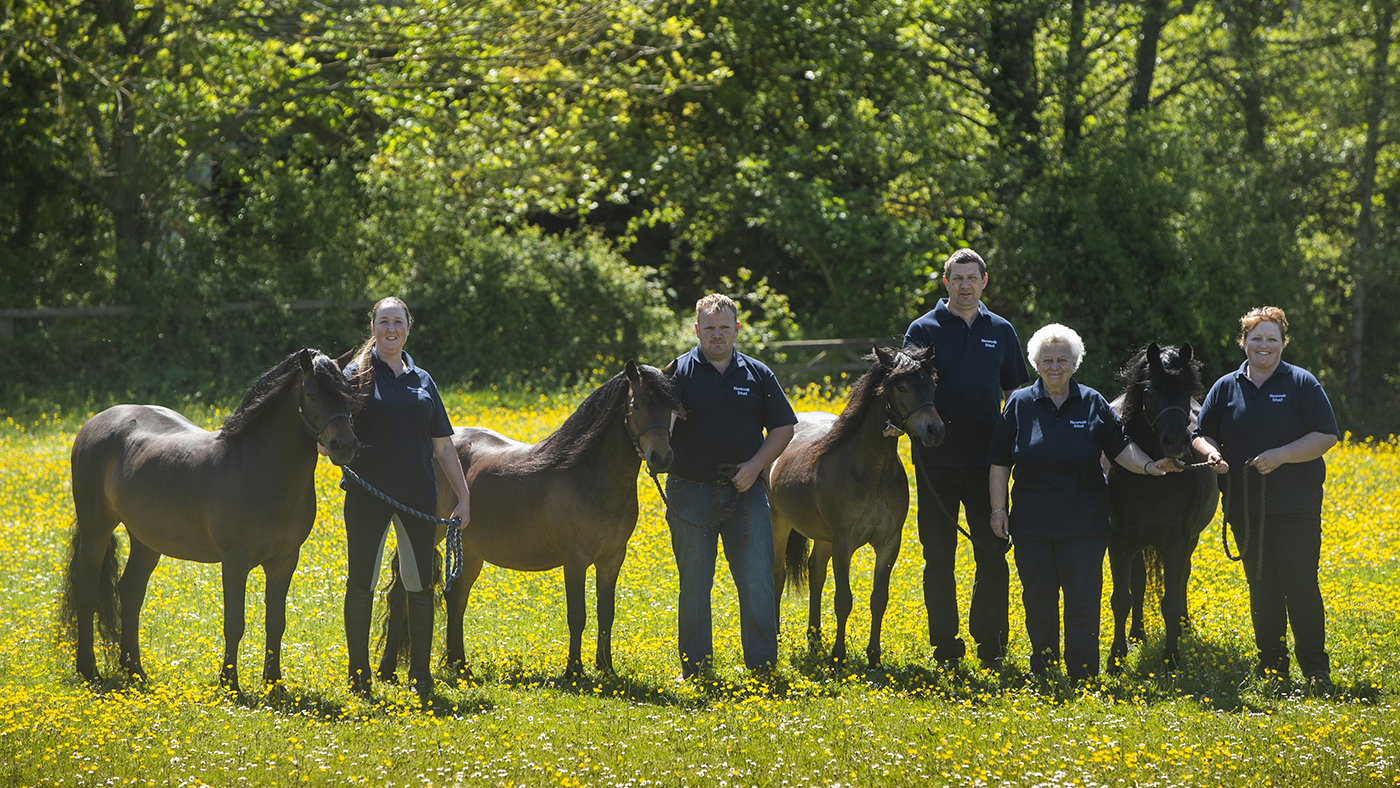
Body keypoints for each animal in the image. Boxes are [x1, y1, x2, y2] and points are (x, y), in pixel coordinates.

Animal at [65, 348, 359, 694]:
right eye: (311, 395)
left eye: (349, 395)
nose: (344, 446)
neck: (259, 467)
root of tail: (95, 422)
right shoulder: (234, 559)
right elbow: (234, 623)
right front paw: (230, 684)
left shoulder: (285, 561)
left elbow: (276, 622)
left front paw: (273, 684)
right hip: (95, 530)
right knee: (87, 591)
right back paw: (90, 671)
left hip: (146, 541)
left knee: (131, 592)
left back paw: (135, 670)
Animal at [376, 360, 680, 680]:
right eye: (636, 405)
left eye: (671, 408)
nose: (661, 457)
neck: (590, 479)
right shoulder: (575, 560)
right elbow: (577, 615)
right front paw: (574, 671)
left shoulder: (612, 559)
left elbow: (606, 614)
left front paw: (606, 669)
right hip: (427, 531)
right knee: (400, 595)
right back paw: (387, 671)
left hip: (469, 548)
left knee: (454, 596)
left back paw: (459, 665)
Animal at [768, 345, 945, 667]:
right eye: (901, 387)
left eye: (932, 385)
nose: (934, 431)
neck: (872, 470)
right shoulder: (844, 542)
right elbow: (843, 599)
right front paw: (839, 655)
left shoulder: (889, 543)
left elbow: (879, 599)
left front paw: (873, 655)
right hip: (779, 523)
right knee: (777, 575)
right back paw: (775, 635)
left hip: (822, 538)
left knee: (815, 574)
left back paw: (815, 638)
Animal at [1104, 342, 1219, 674]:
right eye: (1152, 390)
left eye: (1186, 389)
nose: (1177, 441)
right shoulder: (1118, 543)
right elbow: (1122, 598)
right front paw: (1116, 659)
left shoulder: (1178, 543)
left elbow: (1170, 600)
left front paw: (1171, 659)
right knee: (1139, 583)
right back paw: (1137, 634)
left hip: (1189, 540)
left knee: (1181, 580)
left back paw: (1183, 626)